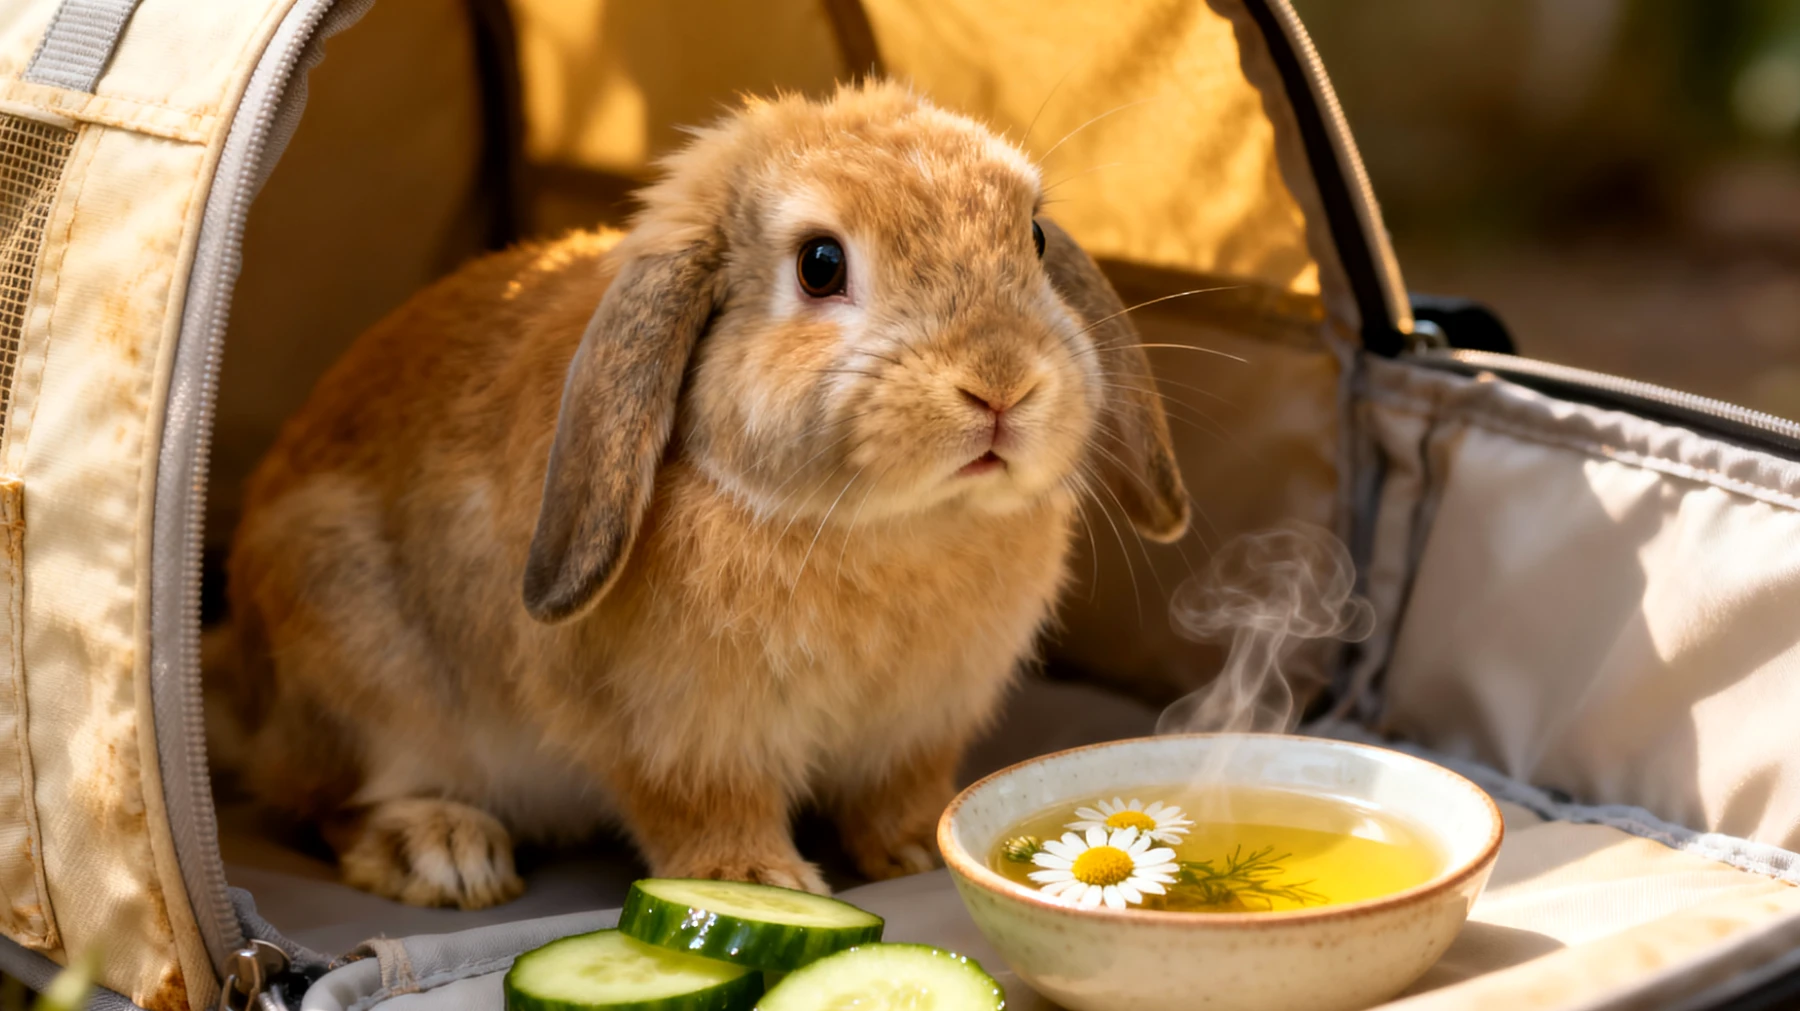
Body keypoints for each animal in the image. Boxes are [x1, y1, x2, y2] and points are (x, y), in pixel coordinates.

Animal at [215, 79, 1189, 910]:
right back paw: (444, 852)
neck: (890, 525)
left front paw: (920, 847)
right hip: (349, 643)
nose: (1000, 385)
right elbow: (701, 805)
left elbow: (899, 792)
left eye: (1034, 238)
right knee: (323, 801)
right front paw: (756, 880)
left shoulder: (917, 726)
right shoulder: (674, 730)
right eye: (821, 264)